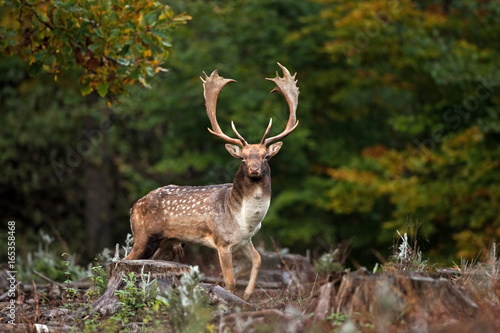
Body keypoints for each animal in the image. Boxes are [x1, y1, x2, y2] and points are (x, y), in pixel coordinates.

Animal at [125, 62, 298, 298]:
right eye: (243, 158)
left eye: (266, 156)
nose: (254, 169)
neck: (245, 220)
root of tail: (133, 206)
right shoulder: (222, 242)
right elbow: (230, 281)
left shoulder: (245, 240)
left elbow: (258, 260)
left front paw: (248, 294)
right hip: (143, 235)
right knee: (122, 260)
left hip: (168, 242)